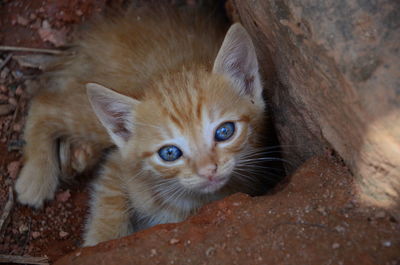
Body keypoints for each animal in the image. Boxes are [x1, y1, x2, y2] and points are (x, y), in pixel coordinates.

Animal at [14, 6, 276, 245]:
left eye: (224, 132)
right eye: (169, 153)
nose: (208, 171)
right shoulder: (117, 165)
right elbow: (108, 212)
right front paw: (101, 241)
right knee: (44, 103)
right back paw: (35, 178)